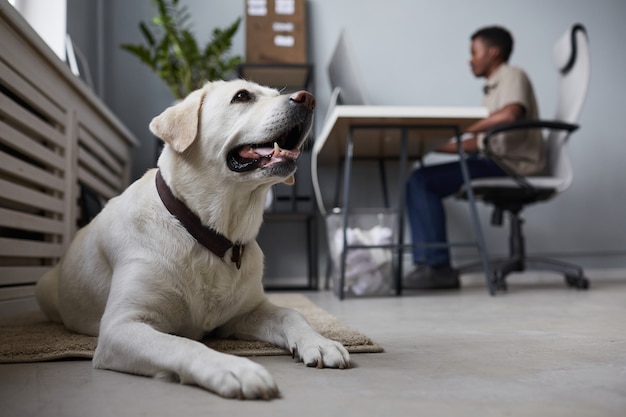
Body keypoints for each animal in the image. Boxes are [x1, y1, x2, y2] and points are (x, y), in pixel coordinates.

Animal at [34, 79, 348, 400]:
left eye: (276, 93)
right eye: (242, 96)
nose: (308, 99)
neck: (209, 234)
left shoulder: (245, 313)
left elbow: (292, 314)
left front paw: (319, 341)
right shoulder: (120, 327)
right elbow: (182, 343)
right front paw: (234, 368)